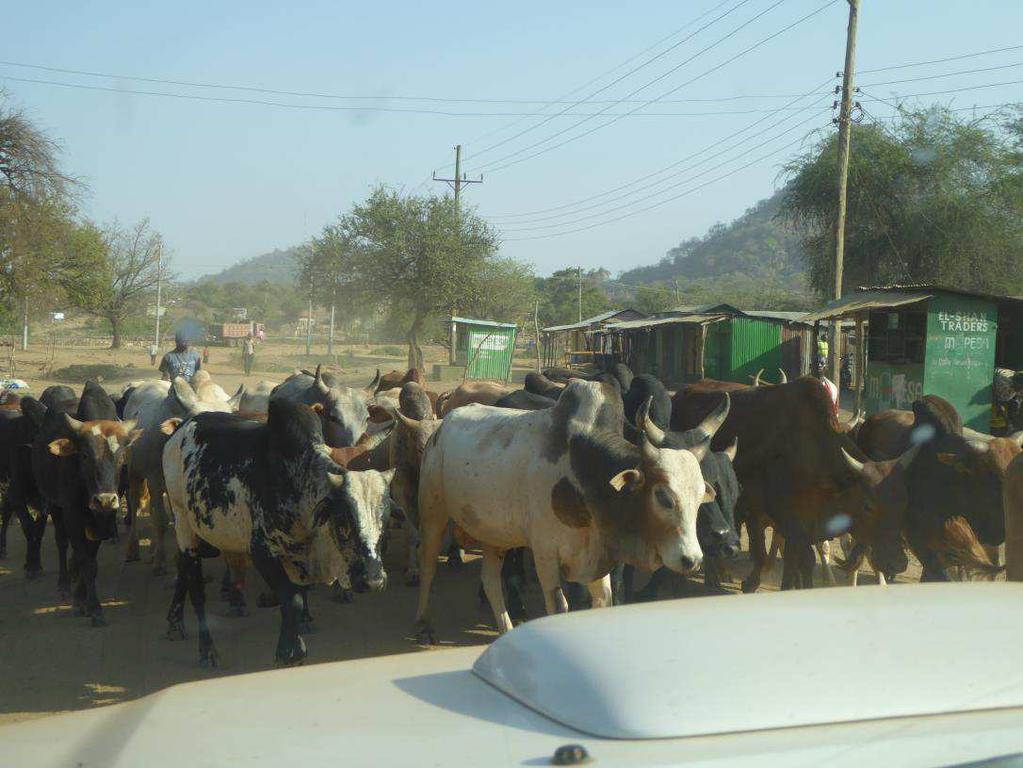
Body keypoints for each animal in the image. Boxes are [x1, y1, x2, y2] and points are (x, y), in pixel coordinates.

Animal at [163, 396, 394, 666]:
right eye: (344, 521)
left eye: (384, 521)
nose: (373, 581)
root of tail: (181, 427)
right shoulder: (263, 553)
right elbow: (291, 601)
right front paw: (289, 652)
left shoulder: (300, 558)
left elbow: (298, 597)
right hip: (183, 522)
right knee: (195, 587)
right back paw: (207, 650)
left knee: (183, 569)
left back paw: (175, 622)